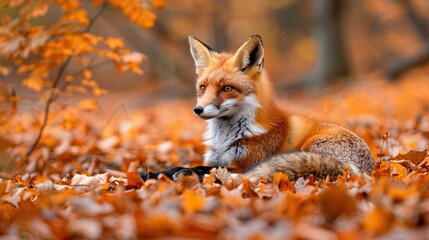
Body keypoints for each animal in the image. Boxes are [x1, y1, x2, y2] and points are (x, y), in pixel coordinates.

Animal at [186, 33, 372, 180]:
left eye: (226, 88)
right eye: (203, 87)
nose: (198, 110)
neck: (224, 140)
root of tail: (366, 170)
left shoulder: (246, 163)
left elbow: (201, 168)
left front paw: (185, 172)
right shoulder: (214, 159)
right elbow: (203, 166)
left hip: (311, 147)